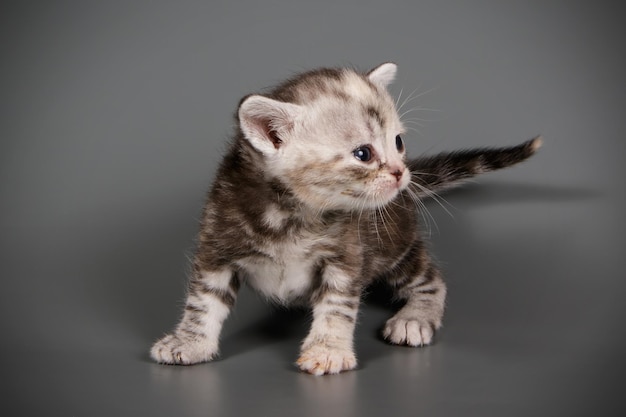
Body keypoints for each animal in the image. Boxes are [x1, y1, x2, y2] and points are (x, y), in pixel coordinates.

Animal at [149, 63, 540, 376]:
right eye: (363, 154)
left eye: (398, 142)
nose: (400, 172)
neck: (292, 215)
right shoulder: (216, 245)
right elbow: (202, 302)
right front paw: (189, 342)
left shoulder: (347, 256)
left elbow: (337, 306)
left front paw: (328, 350)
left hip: (395, 247)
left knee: (431, 278)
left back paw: (415, 317)